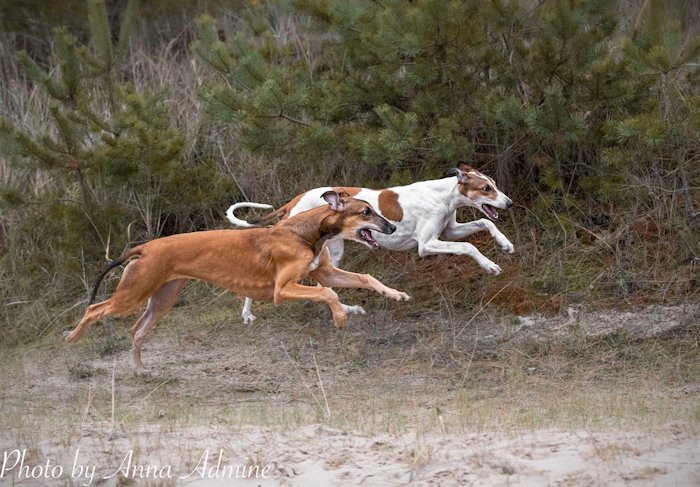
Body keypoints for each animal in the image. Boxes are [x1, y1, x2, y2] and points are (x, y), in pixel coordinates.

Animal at [65, 191, 410, 371]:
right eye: (365, 212)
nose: (393, 227)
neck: (304, 231)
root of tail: (145, 247)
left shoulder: (323, 271)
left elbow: (364, 277)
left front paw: (396, 295)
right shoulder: (283, 290)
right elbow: (328, 293)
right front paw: (340, 318)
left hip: (162, 298)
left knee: (136, 331)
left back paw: (140, 370)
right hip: (133, 294)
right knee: (95, 308)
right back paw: (72, 336)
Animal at [227, 163, 514, 324]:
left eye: (495, 185)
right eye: (486, 188)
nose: (509, 203)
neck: (441, 195)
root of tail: (293, 201)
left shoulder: (451, 231)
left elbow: (486, 223)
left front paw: (505, 244)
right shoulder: (427, 245)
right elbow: (469, 247)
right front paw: (489, 266)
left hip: (331, 254)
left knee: (323, 286)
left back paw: (346, 309)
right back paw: (247, 314)